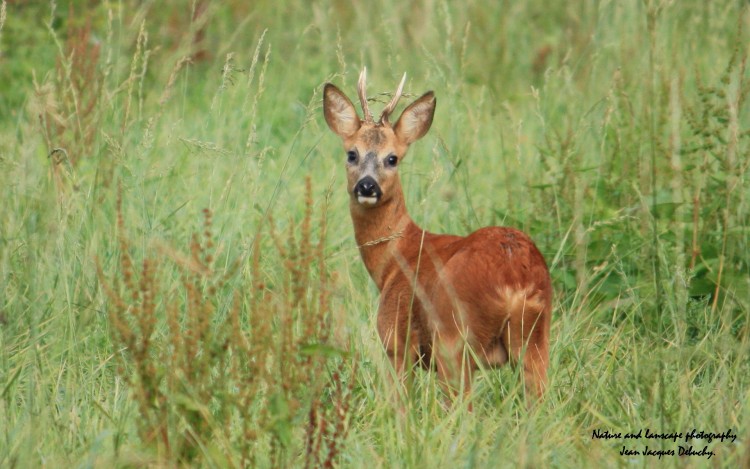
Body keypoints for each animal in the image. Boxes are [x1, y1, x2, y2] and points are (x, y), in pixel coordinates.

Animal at [324, 69, 552, 398]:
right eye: (352, 154)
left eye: (392, 158)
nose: (367, 186)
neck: (393, 261)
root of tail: (514, 278)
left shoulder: (396, 341)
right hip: (536, 336)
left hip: (453, 341)